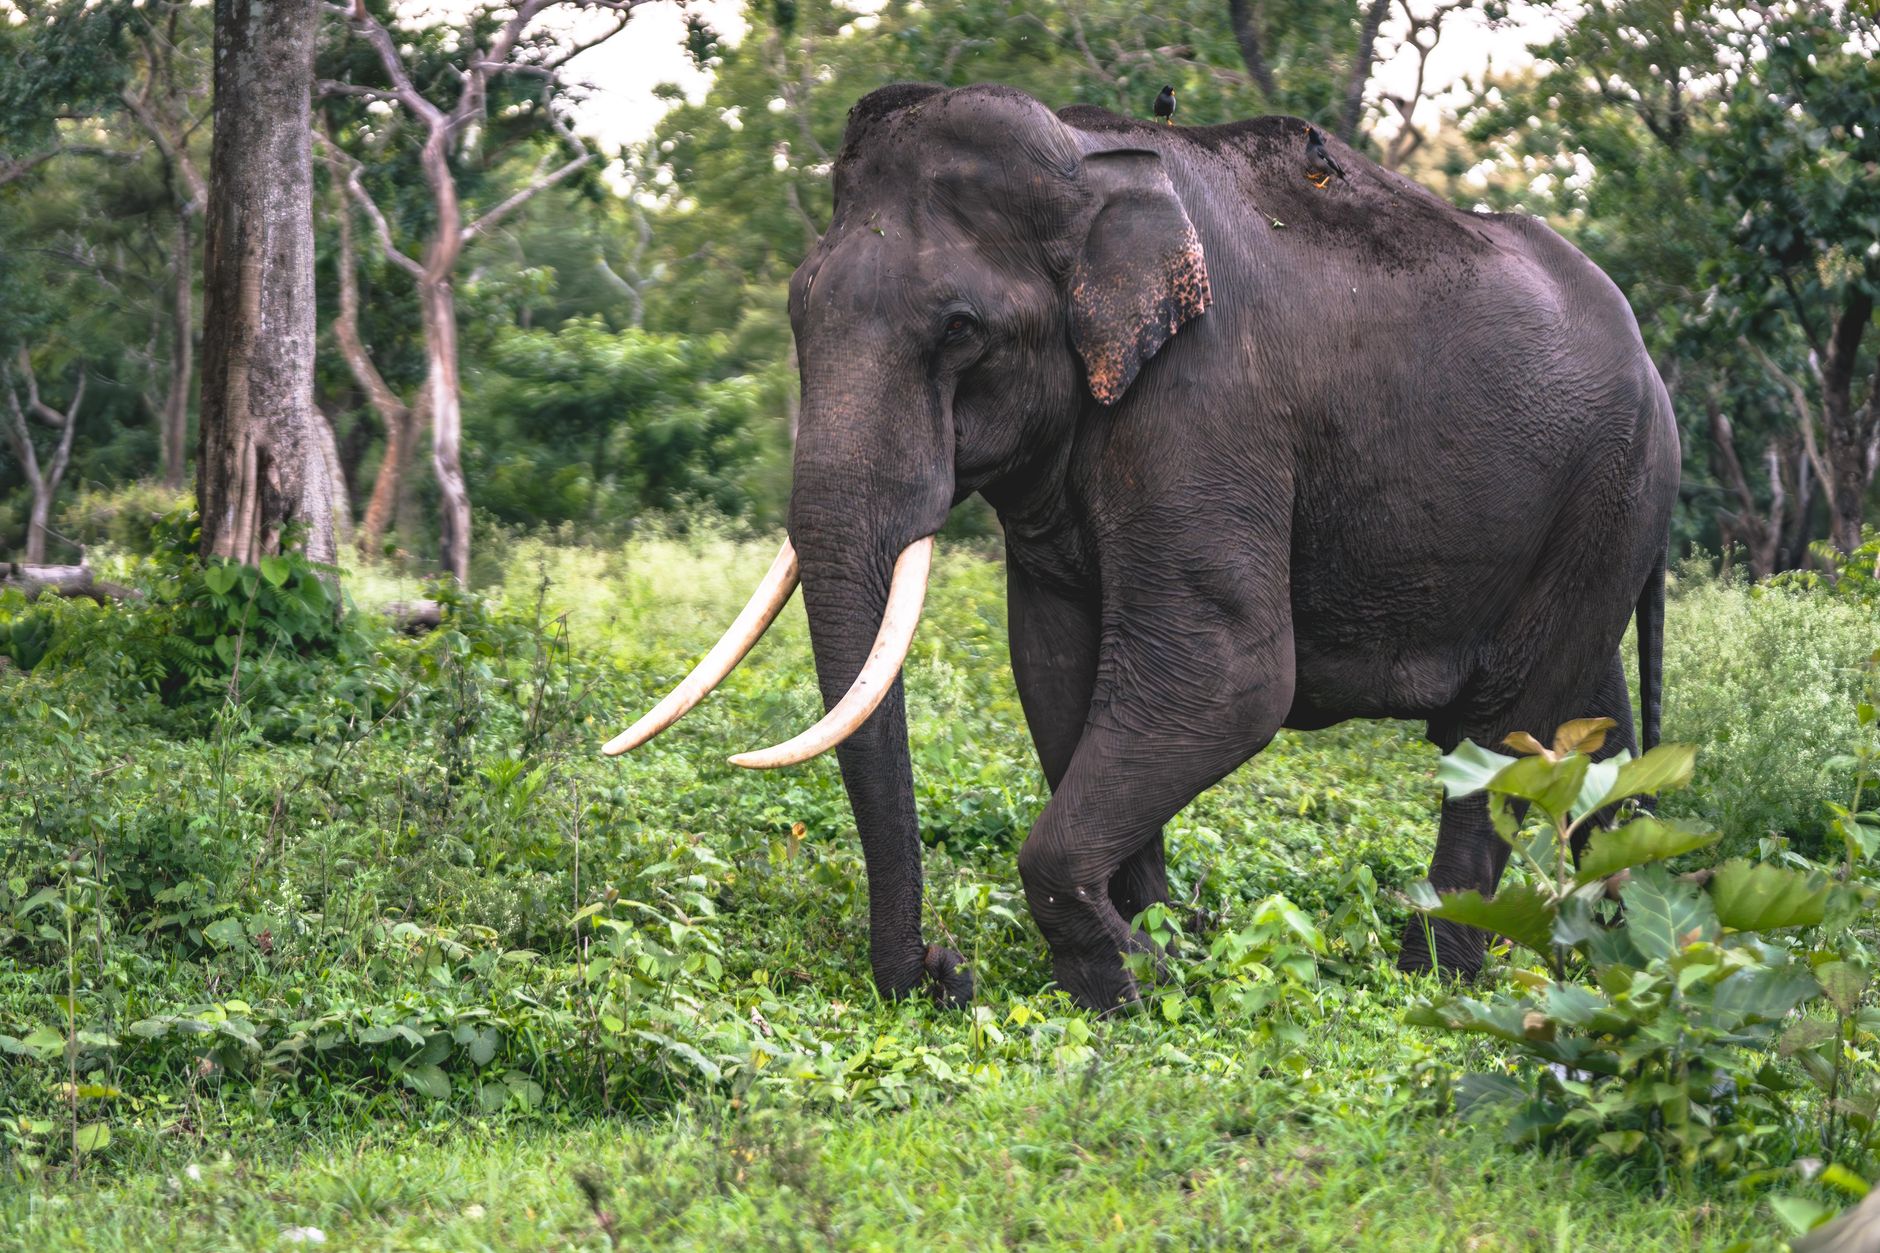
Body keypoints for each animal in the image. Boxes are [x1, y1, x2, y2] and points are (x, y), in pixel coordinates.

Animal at [608, 83, 1680, 1013]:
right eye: (796, 310)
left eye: (961, 330)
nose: (945, 971)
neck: (1086, 162)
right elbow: (1056, 667)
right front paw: (1172, 937)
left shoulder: (1206, 402)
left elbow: (1226, 676)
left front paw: (1130, 977)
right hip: (1599, 519)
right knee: (1589, 722)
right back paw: (1619, 940)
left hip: (1609, 488)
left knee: (1502, 732)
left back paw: (1436, 978)